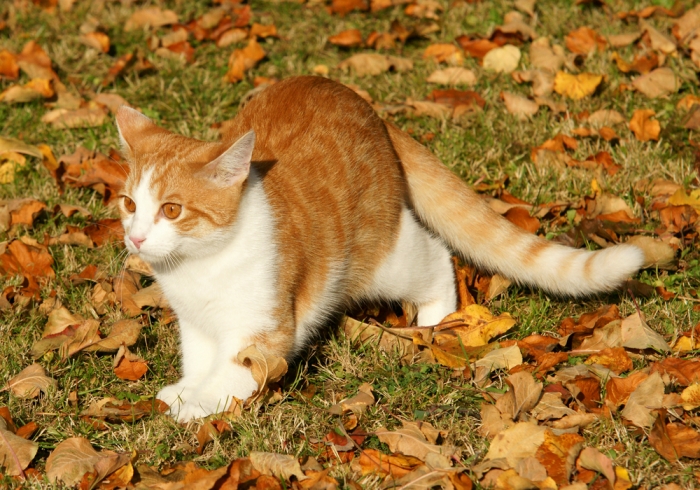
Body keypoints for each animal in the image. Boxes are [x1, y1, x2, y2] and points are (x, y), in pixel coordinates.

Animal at [116, 75, 644, 422]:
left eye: (172, 210)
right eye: (129, 203)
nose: (136, 237)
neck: (197, 266)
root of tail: (357, 98)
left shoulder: (263, 335)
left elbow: (230, 375)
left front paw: (195, 405)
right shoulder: (196, 325)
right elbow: (200, 362)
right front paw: (186, 389)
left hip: (383, 257)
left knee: (435, 255)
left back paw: (436, 322)